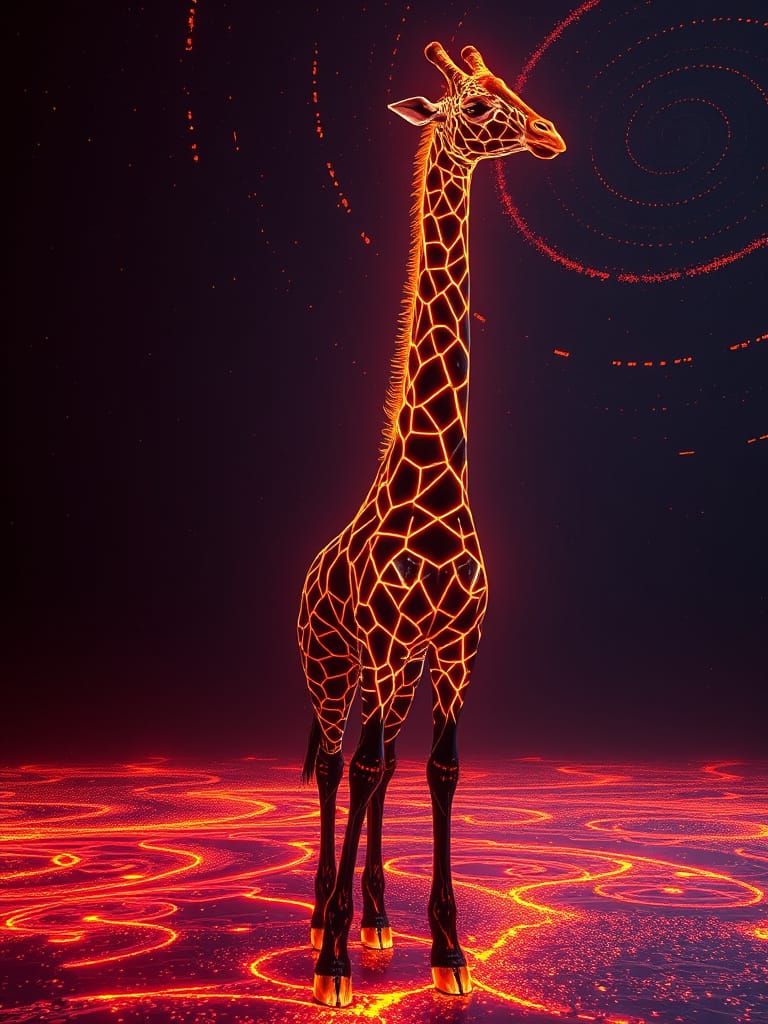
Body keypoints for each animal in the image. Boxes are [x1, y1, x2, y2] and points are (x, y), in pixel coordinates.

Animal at [297, 41, 565, 1008]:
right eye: (477, 106)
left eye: (508, 89)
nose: (549, 135)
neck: (440, 485)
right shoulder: (380, 644)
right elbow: (366, 768)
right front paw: (332, 962)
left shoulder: (455, 649)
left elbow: (440, 771)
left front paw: (447, 951)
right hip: (331, 664)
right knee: (338, 763)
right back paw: (323, 920)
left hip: (398, 673)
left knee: (376, 764)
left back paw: (373, 916)